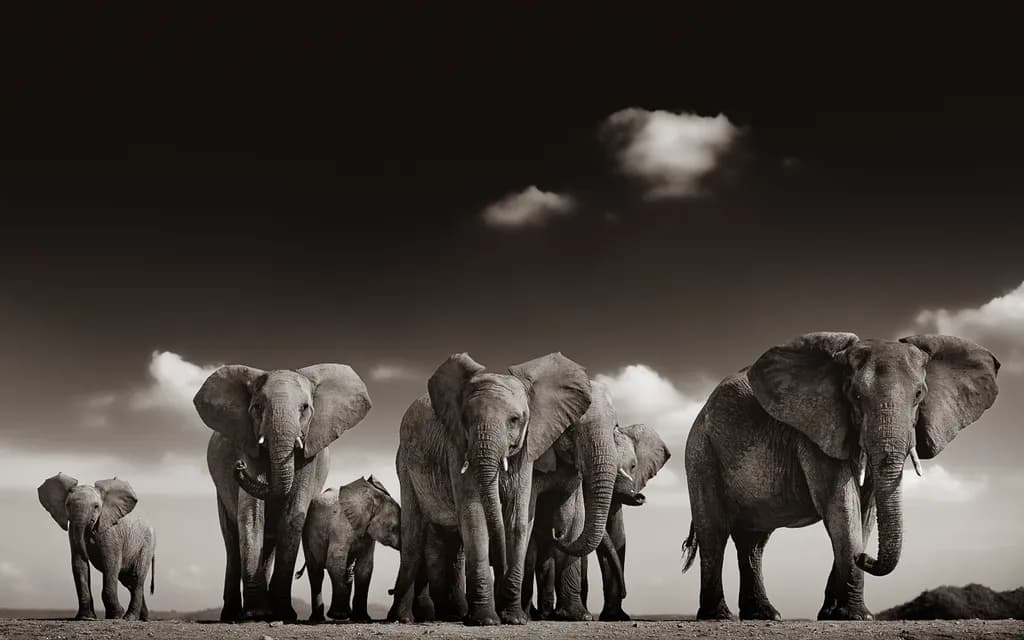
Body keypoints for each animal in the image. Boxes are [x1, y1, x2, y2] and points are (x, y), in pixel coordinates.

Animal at [37, 474, 156, 621]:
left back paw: (129, 618)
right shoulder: (73, 532)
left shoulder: (110, 531)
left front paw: (116, 615)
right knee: (128, 581)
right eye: (67, 505)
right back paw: (142, 618)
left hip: (147, 545)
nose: (88, 544)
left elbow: (110, 564)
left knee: (136, 577)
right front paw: (86, 617)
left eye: (96, 506)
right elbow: (79, 564)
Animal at [195, 363, 372, 622]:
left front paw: (283, 614)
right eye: (257, 407)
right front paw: (256, 613)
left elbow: (293, 514)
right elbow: (251, 515)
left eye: (305, 408)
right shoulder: (248, 441)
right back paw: (233, 615)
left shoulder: (311, 449)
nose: (238, 467)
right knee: (231, 541)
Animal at [296, 475, 401, 622]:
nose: (390, 591)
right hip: (308, 534)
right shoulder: (341, 526)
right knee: (316, 572)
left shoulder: (368, 535)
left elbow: (365, 568)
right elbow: (335, 562)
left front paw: (362, 619)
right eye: (394, 528)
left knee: (348, 571)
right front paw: (339, 616)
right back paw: (318, 619)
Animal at [386, 352, 593, 626]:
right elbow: (476, 520)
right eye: (465, 420)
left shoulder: (527, 449)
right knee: (412, 537)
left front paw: (515, 619)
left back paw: (451, 615)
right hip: (405, 466)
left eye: (515, 420)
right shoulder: (457, 446)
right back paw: (403, 618)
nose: (501, 568)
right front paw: (486, 620)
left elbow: (517, 521)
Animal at [681, 332, 1000, 621]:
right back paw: (718, 616)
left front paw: (837, 613)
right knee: (714, 533)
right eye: (855, 396)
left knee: (754, 542)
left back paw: (764, 615)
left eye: (920, 395)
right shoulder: (816, 429)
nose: (866, 558)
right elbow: (842, 503)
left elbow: (866, 509)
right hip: (701, 452)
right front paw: (857, 615)